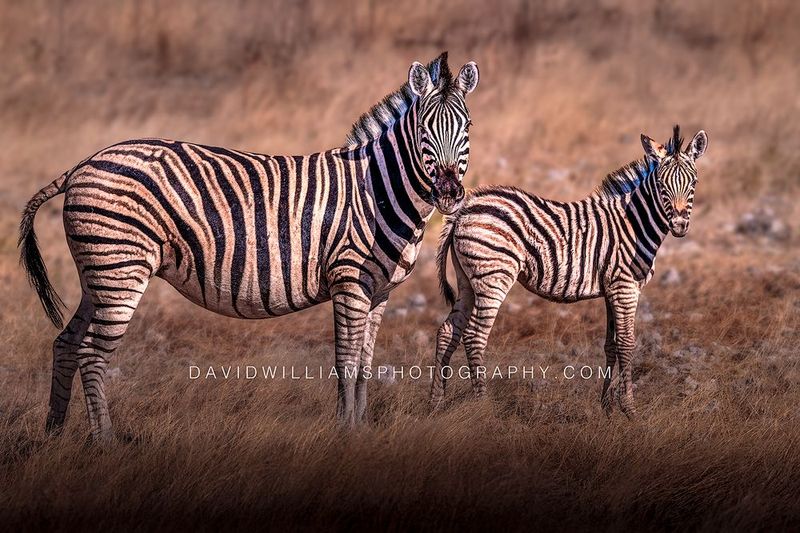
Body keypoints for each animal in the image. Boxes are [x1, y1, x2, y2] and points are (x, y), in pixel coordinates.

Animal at [19, 52, 480, 441]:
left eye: (467, 129)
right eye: (423, 131)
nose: (449, 193)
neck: (378, 190)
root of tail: (83, 164)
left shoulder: (380, 291)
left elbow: (365, 364)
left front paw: (362, 429)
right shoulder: (349, 279)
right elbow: (346, 361)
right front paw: (345, 432)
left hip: (99, 272)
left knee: (66, 344)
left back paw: (54, 436)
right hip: (120, 270)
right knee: (92, 354)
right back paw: (105, 443)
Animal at [431, 126, 707, 417]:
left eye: (693, 184)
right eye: (662, 186)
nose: (679, 226)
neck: (633, 224)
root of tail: (464, 208)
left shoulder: (611, 288)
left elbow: (611, 344)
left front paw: (607, 407)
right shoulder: (625, 286)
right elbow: (626, 343)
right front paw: (629, 409)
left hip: (467, 279)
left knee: (448, 330)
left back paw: (435, 403)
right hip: (494, 276)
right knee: (475, 336)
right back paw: (483, 405)